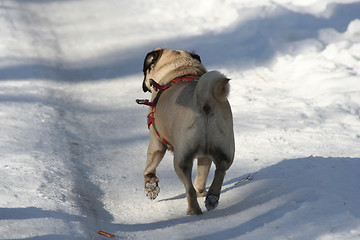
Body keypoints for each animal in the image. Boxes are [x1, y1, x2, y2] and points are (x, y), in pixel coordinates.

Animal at [139, 47, 235, 215]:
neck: (180, 70)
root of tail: (205, 101)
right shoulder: (205, 156)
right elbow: (203, 174)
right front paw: (202, 191)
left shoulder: (156, 142)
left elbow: (150, 167)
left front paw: (151, 186)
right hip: (226, 150)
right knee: (220, 170)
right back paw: (211, 197)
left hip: (181, 160)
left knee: (189, 189)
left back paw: (194, 211)